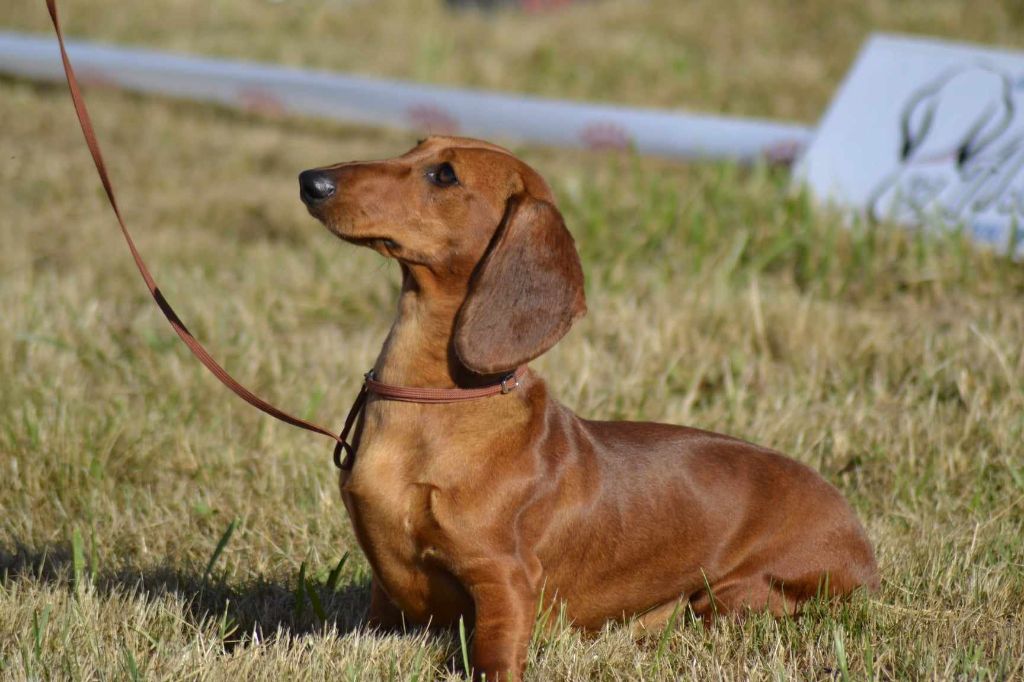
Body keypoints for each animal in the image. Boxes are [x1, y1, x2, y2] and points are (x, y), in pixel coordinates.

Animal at [299, 135, 880, 675]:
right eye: (414, 147)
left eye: (444, 175)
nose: (311, 180)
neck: (437, 402)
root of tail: (859, 535)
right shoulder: (385, 595)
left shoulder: (505, 578)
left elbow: (494, 656)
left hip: (737, 595)